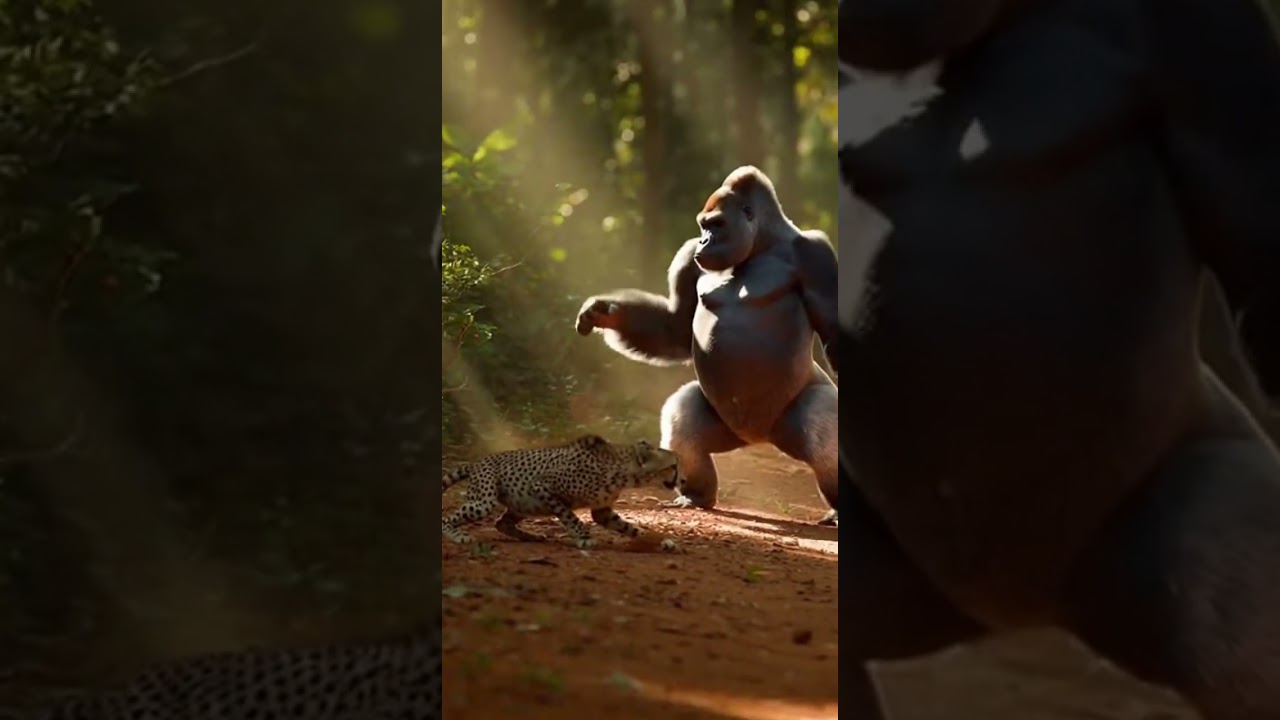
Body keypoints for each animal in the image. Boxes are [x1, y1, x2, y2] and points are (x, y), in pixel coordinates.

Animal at [441, 434, 680, 550]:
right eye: (674, 466)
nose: (683, 479)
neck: (624, 473)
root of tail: (477, 461)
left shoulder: (602, 511)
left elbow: (628, 526)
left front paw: (657, 540)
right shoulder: (540, 486)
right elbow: (569, 515)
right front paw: (584, 538)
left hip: (523, 505)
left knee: (502, 523)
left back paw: (531, 536)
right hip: (485, 502)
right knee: (447, 519)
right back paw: (458, 535)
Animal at [575, 167, 840, 526]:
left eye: (717, 225)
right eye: (703, 227)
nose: (704, 241)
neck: (763, 244)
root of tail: (759, 438)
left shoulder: (816, 253)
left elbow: (834, 333)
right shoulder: (689, 257)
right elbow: (673, 327)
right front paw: (606, 313)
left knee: (823, 428)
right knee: (682, 421)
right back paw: (696, 495)